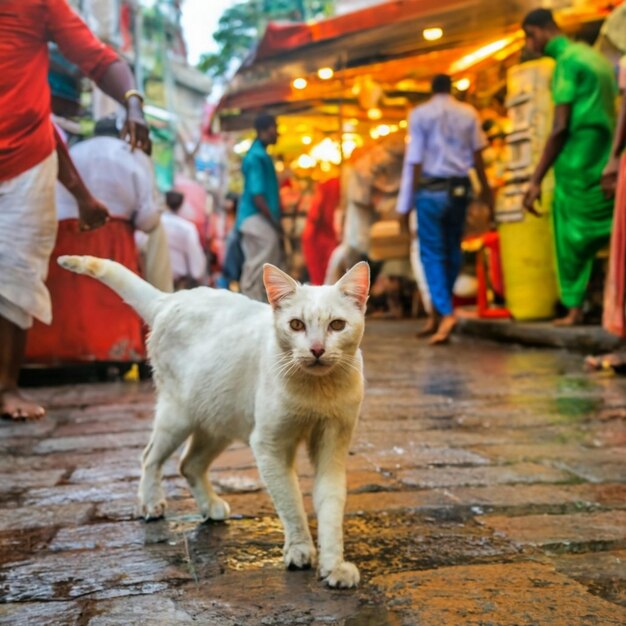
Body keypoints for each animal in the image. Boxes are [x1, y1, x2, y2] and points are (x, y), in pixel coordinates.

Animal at [56, 254, 368, 584]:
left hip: (218, 423)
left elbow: (330, 504)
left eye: (337, 325)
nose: (317, 350)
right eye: (296, 325)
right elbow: (291, 501)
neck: (318, 390)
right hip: (177, 416)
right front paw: (299, 550)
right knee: (149, 457)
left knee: (188, 464)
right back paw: (151, 503)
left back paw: (209, 507)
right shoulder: (269, 445)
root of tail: (169, 299)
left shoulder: (333, 444)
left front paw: (333, 566)